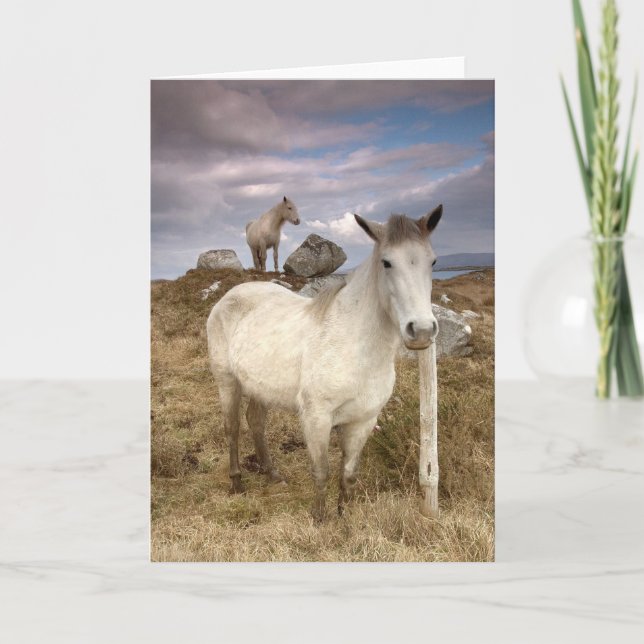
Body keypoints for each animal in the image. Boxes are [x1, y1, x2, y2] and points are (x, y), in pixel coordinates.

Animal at [207, 205, 443, 521]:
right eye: (387, 262)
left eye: (432, 261)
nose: (422, 331)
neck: (355, 347)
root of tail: (227, 298)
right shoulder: (317, 418)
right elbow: (321, 471)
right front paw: (319, 519)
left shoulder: (363, 421)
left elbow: (348, 473)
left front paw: (344, 515)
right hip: (228, 382)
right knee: (232, 428)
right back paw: (236, 482)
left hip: (260, 387)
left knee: (255, 422)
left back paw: (272, 474)